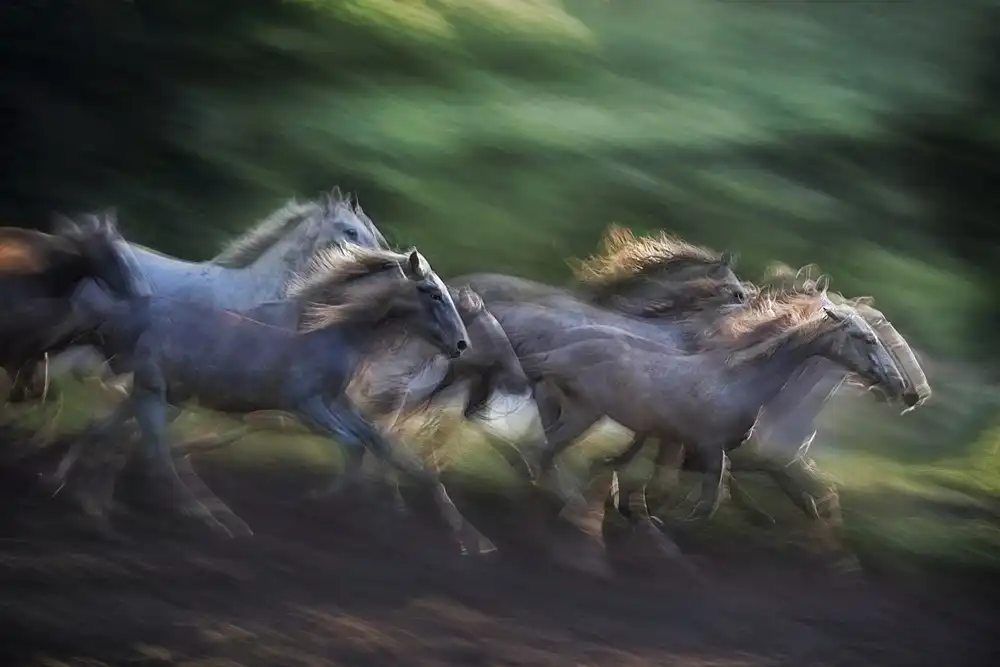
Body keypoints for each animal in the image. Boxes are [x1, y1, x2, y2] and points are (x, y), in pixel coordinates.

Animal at [55, 243, 495, 554]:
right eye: (431, 292)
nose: (461, 344)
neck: (329, 334)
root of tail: (125, 313)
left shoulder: (338, 404)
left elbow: (387, 449)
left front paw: (469, 538)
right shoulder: (306, 405)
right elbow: (355, 446)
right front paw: (316, 501)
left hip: (160, 396)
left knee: (105, 433)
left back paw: (78, 498)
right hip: (155, 394)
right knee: (154, 455)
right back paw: (211, 523)